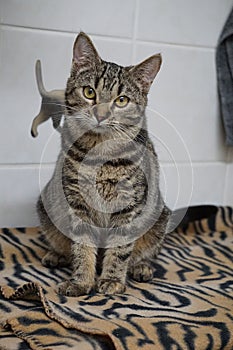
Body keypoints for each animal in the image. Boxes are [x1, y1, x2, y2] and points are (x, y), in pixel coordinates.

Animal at [37, 32, 170, 296]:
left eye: (122, 100)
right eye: (89, 92)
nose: (101, 114)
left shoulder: (129, 205)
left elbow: (120, 248)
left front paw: (112, 280)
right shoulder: (77, 202)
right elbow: (82, 246)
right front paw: (81, 282)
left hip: (160, 216)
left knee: (145, 252)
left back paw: (141, 267)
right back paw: (55, 255)